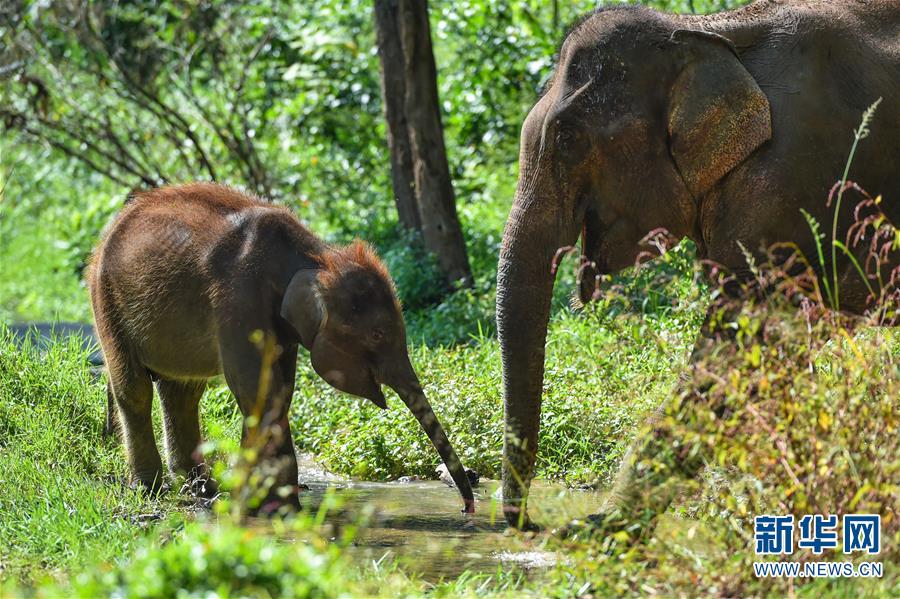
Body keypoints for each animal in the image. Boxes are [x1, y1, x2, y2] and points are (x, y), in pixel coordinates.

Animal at [89, 182, 475, 514]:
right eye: (378, 334)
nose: (465, 507)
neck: (316, 255)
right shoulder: (237, 298)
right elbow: (257, 387)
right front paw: (271, 507)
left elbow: (280, 390)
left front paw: (268, 503)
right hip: (105, 300)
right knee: (135, 388)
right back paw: (151, 489)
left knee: (182, 392)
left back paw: (200, 489)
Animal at [496, 1, 899, 530]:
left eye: (568, 138)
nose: (530, 522)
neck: (704, 31)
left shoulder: (788, 185)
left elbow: (735, 351)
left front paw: (602, 530)